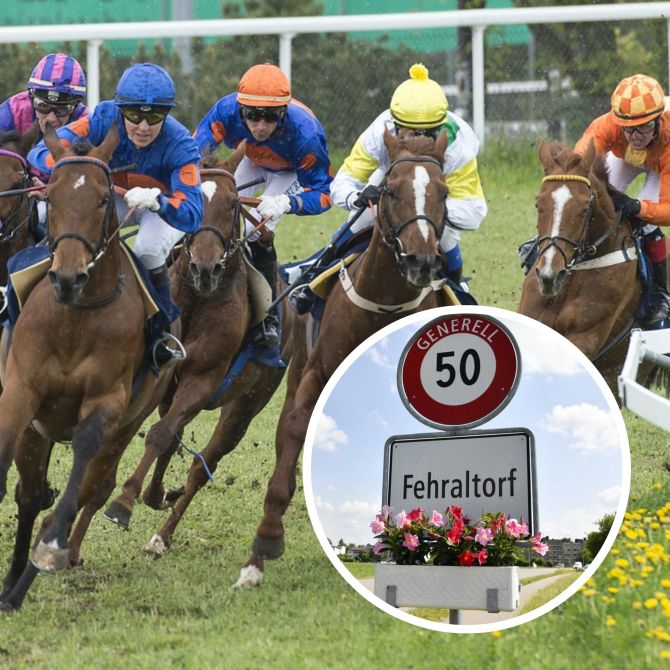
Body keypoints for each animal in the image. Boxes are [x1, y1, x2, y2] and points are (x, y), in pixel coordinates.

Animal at [0, 123, 176, 612]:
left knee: (88, 489)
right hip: (37, 432)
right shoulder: (20, 391)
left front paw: (51, 549)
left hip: (128, 422)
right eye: (51, 195)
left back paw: (27, 579)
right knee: (30, 496)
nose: (66, 277)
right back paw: (11, 583)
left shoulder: (106, 404)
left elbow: (78, 475)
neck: (74, 320)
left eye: (102, 199)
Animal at [103, 148, 294, 560]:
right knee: (175, 435)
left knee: (202, 463)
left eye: (234, 203)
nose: (205, 267)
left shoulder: (204, 378)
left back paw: (162, 534)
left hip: (247, 405)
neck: (197, 300)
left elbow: (161, 435)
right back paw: (158, 495)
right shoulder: (168, 379)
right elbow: (164, 434)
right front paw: (150, 493)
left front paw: (123, 502)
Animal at [234, 130, 460, 588]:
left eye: (444, 193)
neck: (382, 302)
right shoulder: (318, 371)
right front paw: (261, 549)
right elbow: (293, 435)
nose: (421, 261)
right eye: (390, 191)